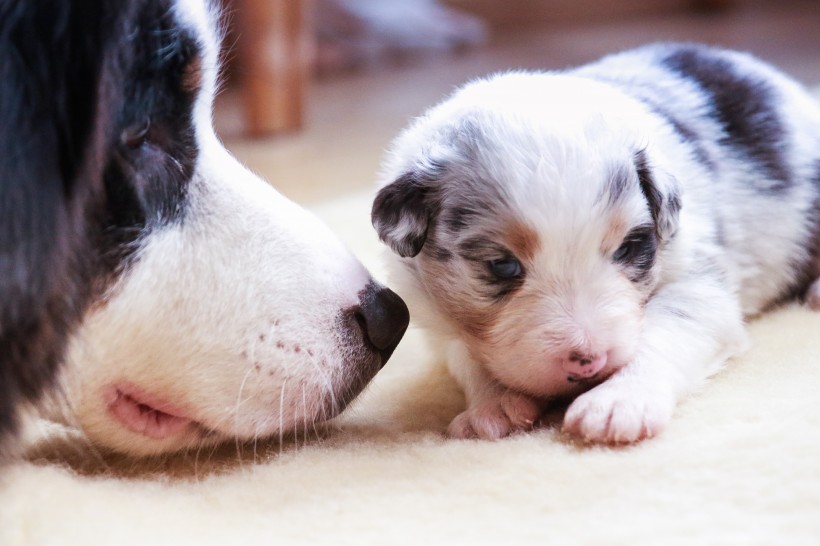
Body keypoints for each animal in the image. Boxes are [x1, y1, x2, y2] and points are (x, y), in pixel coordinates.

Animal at [374, 42, 820, 442]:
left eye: (627, 248)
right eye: (502, 266)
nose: (589, 361)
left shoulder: (700, 277)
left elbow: (667, 328)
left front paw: (618, 402)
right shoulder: (433, 315)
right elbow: (465, 352)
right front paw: (494, 407)